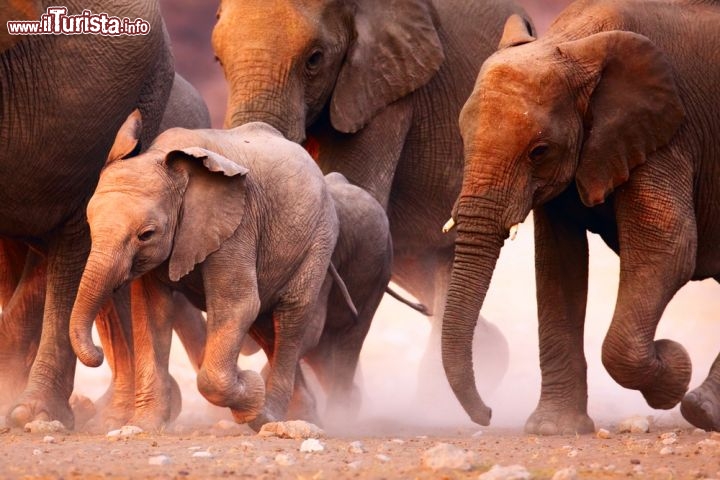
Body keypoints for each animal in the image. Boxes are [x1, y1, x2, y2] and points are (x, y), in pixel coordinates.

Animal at [67, 120, 340, 432]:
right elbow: (151, 312)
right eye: (90, 224)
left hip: (319, 239)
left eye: (146, 235)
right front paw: (144, 426)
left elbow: (237, 305)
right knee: (265, 326)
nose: (98, 352)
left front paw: (250, 389)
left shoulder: (237, 226)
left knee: (291, 316)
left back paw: (268, 415)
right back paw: (303, 416)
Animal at [442, 0, 720, 436]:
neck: (576, 43)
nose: (486, 415)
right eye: (463, 138)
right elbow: (558, 265)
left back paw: (700, 410)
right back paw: (705, 409)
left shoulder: (668, 134)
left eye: (539, 151)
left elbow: (669, 247)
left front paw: (674, 368)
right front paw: (553, 430)